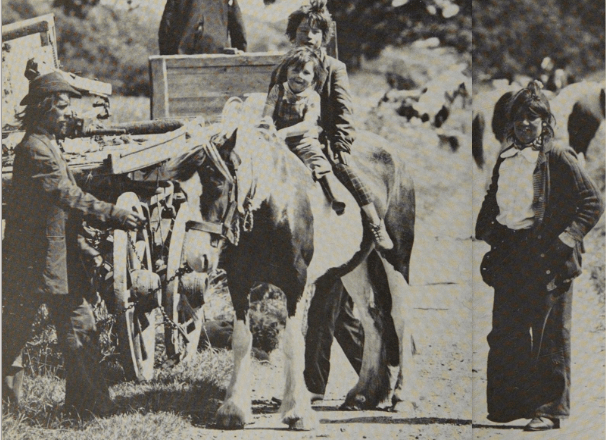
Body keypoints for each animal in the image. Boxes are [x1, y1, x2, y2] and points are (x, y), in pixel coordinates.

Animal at [156, 98, 416, 430]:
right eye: (182, 192)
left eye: (217, 183)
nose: (195, 257)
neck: (274, 205)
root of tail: (395, 156)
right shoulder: (239, 283)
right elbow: (242, 340)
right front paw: (233, 409)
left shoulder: (295, 284)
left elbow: (293, 342)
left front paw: (297, 412)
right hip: (354, 265)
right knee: (373, 318)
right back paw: (362, 393)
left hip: (397, 257)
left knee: (400, 316)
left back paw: (403, 396)